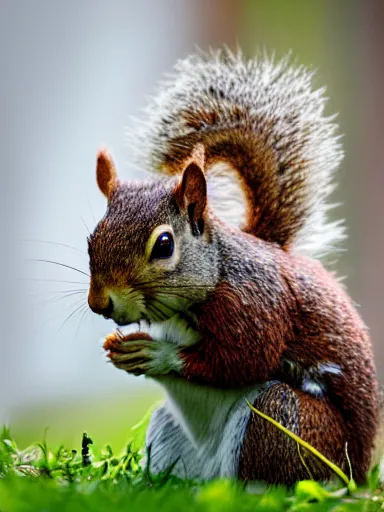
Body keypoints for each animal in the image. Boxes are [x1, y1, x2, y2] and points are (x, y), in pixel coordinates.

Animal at [88, 47, 380, 484]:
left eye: (164, 245)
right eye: (91, 239)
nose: (99, 304)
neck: (219, 270)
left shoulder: (257, 306)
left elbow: (242, 361)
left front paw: (157, 355)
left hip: (285, 421)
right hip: (169, 435)